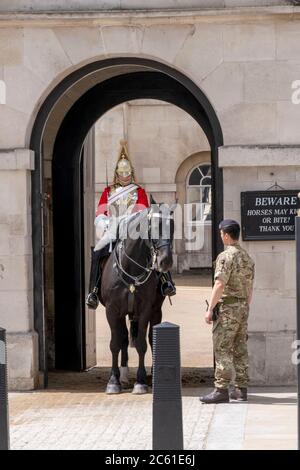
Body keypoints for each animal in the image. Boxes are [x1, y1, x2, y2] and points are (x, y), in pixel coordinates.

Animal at [100, 207, 173, 394]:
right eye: (153, 228)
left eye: (172, 227)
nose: (165, 261)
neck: (130, 268)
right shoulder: (112, 311)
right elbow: (115, 343)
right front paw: (113, 381)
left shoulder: (145, 309)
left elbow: (141, 343)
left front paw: (140, 382)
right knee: (123, 339)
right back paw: (123, 375)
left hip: (156, 311)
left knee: (151, 338)